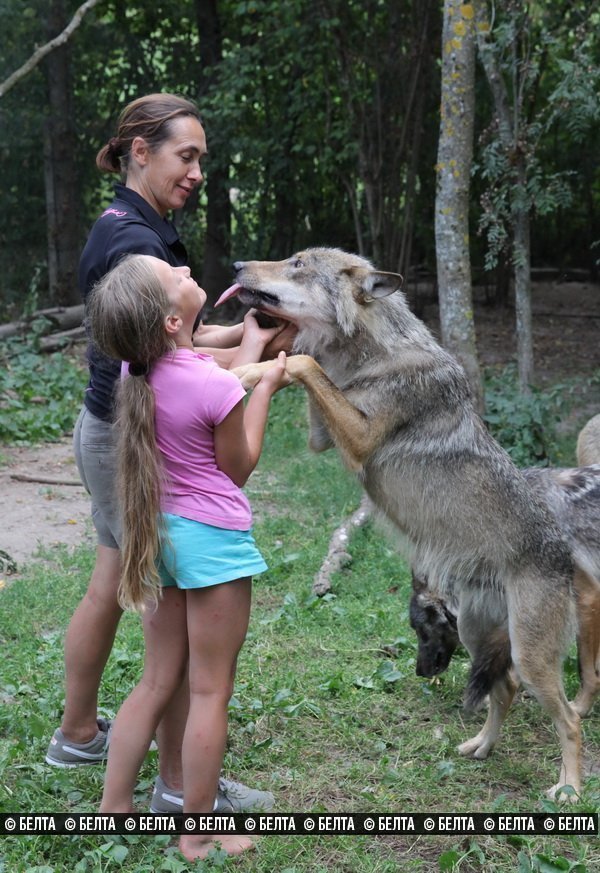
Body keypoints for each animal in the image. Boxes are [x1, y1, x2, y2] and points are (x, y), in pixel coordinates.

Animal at [221, 247, 600, 796]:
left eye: (297, 263)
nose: (234, 267)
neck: (373, 354)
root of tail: (564, 552)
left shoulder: (358, 438)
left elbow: (302, 362)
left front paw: (249, 369)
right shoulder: (321, 435)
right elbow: (294, 363)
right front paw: (248, 368)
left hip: (532, 658)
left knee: (569, 719)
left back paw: (568, 788)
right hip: (479, 638)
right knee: (503, 690)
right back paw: (480, 748)